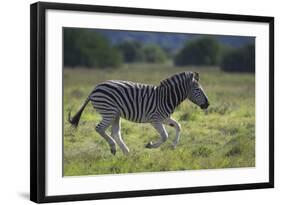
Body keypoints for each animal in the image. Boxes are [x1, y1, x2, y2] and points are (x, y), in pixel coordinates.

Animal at [68, 71, 208, 155]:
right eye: (198, 89)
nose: (207, 104)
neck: (166, 97)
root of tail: (95, 88)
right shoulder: (155, 119)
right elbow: (165, 136)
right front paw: (150, 145)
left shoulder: (165, 118)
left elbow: (178, 126)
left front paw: (173, 146)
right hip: (109, 111)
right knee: (100, 128)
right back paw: (113, 148)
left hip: (116, 114)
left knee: (115, 133)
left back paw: (126, 152)